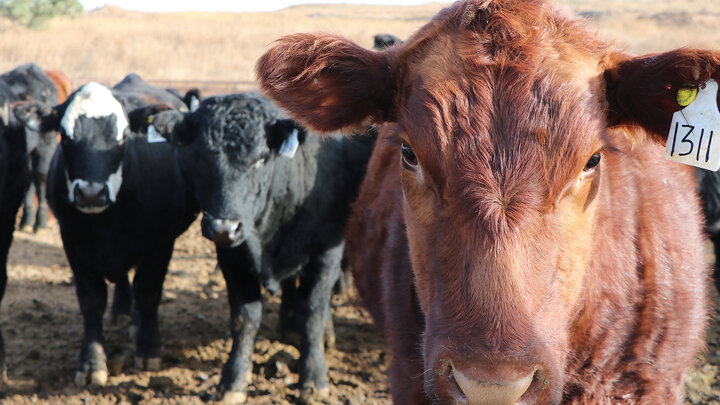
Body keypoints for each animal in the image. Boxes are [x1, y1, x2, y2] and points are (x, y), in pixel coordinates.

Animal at [13, 74, 197, 387]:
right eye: (66, 137)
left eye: (122, 137)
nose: (90, 193)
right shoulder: (72, 242)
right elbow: (91, 301)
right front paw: (91, 363)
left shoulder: (162, 242)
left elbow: (148, 292)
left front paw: (148, 350)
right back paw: (122, 311)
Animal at [149, 92, 375, 403]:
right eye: (200, 156)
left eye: (259, 159)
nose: (224, 226)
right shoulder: (232, 255)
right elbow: (244, 318)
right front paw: (233, 381)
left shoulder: (327, 249)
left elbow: (313, 311)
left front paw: (314, 379)